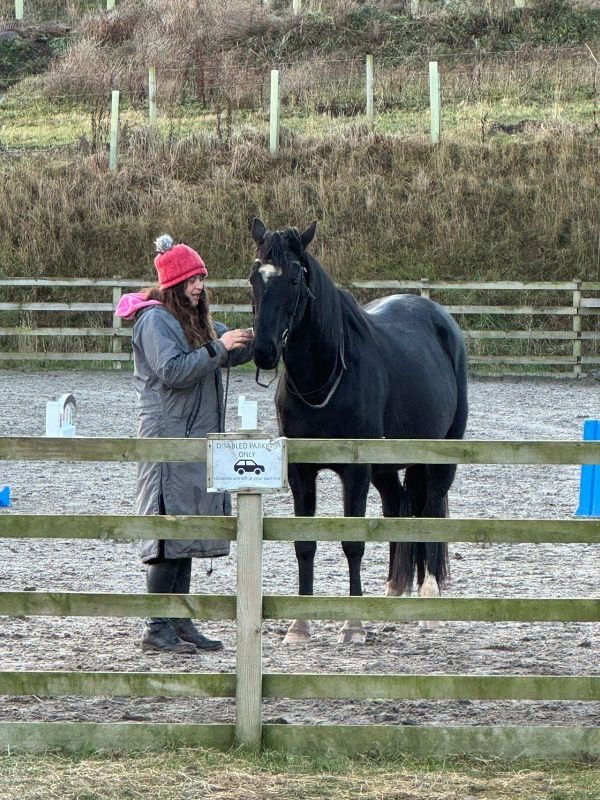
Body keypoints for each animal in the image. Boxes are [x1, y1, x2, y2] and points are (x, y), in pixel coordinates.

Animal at [249, 218, 468, 644]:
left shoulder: (355, 471)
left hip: (441, 457)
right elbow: (304, 545)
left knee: (431, 508)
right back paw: (393, 592)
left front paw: (352, 625)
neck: (324, 378)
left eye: (295, 280)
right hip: (387, 467)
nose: (264, 350)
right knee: (399, 505)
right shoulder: (301, 474)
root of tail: (439, 317)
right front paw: (300, 626)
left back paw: (429, 596)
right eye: (255, 278)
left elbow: (353, 542)